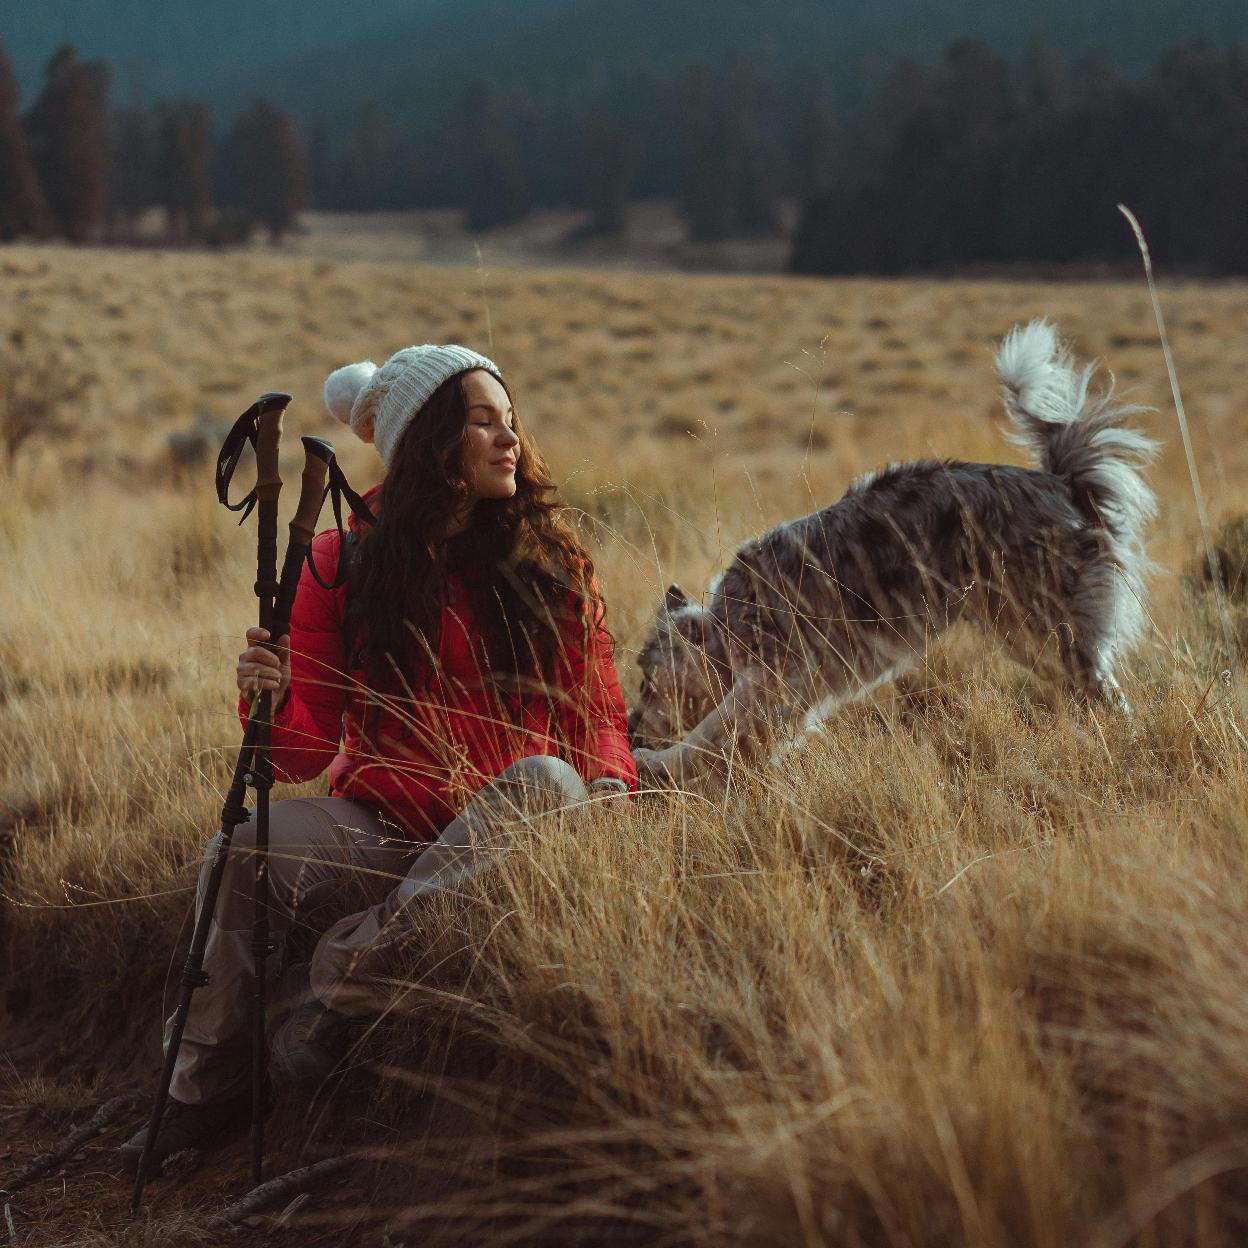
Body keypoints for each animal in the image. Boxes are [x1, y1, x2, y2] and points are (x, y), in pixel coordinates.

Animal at [628, 316, 1153, 783]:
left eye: (647, 683)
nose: (630, 729)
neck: (727, 624)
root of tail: (1063, 484)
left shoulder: (774, 684)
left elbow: (708, 734)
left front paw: (658, 765)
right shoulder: (787, 694)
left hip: (1047, 629)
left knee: (1107, 695)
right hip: (1034, 638)